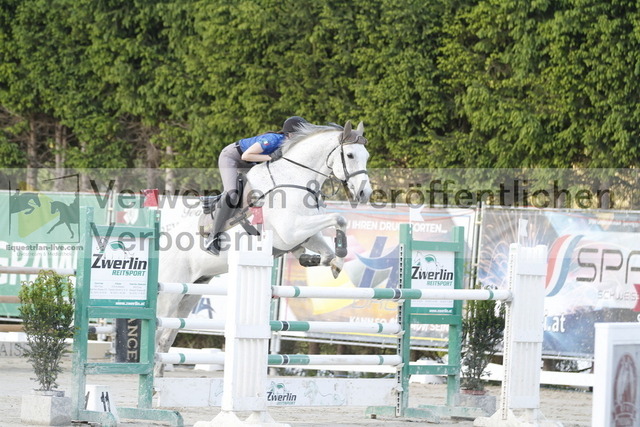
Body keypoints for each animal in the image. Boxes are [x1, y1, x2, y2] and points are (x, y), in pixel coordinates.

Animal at [155, 121, 372, 376]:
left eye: (366, 156)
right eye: (350, 155)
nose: (364, 194)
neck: (295, 177)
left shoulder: (305, 234)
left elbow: (330, 238)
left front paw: (329, 262)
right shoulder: (291, 230)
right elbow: (339, 218)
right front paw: (333, 258)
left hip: (190, 294)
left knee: (166, 337)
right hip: (169, 293)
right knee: (158, 330)